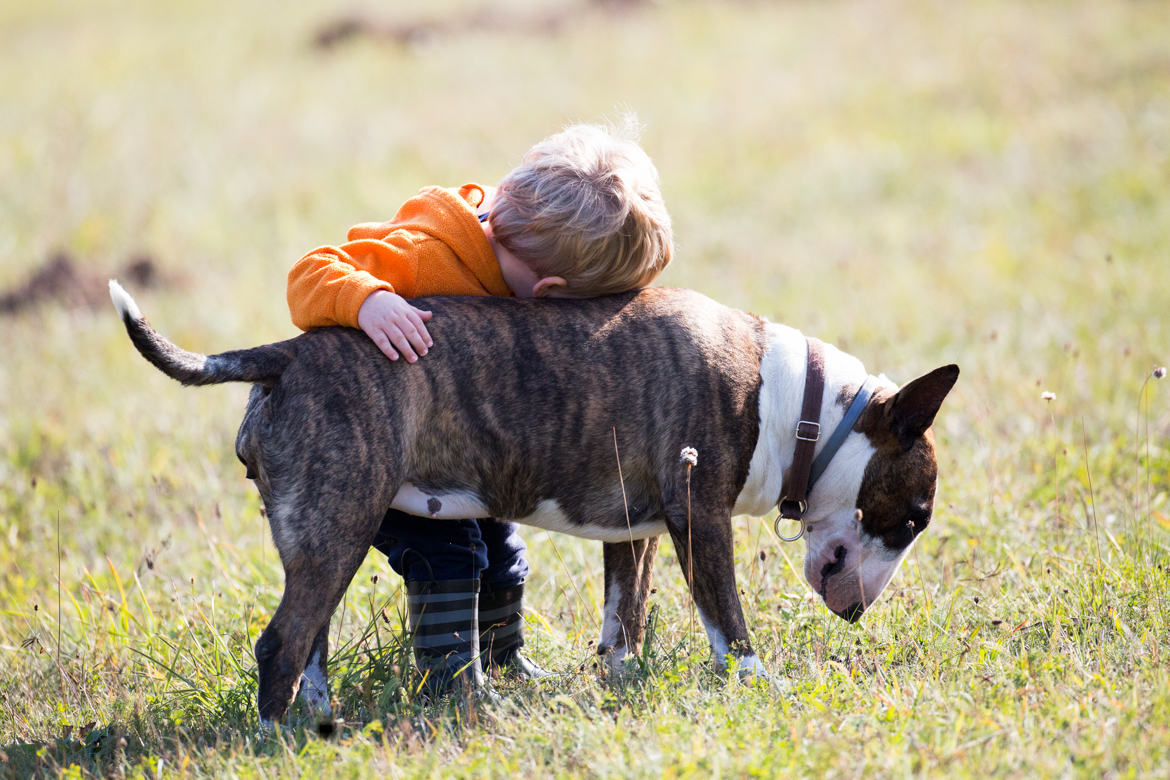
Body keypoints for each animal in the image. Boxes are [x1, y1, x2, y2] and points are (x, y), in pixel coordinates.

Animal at [109, 281, 954, 725]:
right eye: (912, 519)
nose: (858, 615)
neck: (797, 404)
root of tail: (286, 353)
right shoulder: (699, 520)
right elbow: (727, 619)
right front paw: (760, 686)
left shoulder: (638, 528)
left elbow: (624, 612)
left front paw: (620, 677)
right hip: (338, 523)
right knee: (281, 643)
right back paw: (278, 738)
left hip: (331, 533)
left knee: (309, 637)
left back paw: (323, 722)